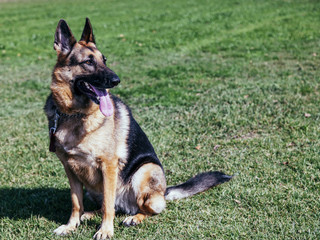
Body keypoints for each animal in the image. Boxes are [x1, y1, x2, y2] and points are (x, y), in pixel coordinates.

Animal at [43, 17, 231, 239]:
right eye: (88, 62)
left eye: (104, 60)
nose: (116, 80)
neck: (75, 115)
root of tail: (164, 191)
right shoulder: (70, 169)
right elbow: (76, 202)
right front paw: (71, 225)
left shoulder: (108, 165)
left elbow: (108, 205)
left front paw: (105, 230)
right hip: (95, 187)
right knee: (111, 205)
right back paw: (89, 214)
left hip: (144, 171)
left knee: (146, 208)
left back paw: (135, 217)